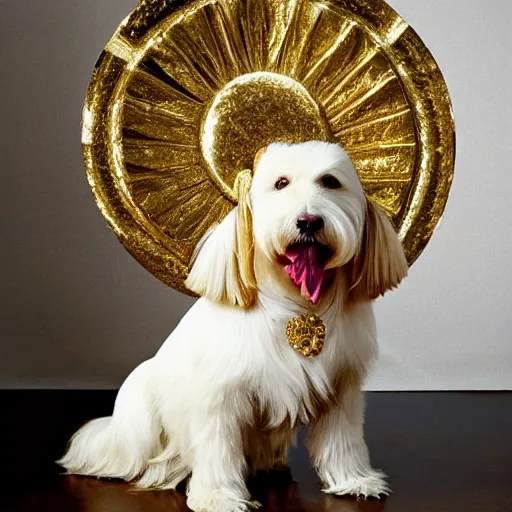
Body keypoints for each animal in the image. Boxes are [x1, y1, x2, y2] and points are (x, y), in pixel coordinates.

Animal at [58, 141, 408, 512]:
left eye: (330, 181)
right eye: (281, 183)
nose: (308, 221)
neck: (296, 304)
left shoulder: (340, 388)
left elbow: (343, 440)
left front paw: (354, 480)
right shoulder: (219, 398)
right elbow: (218, 449)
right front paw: (218, 496)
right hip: (139, 427)